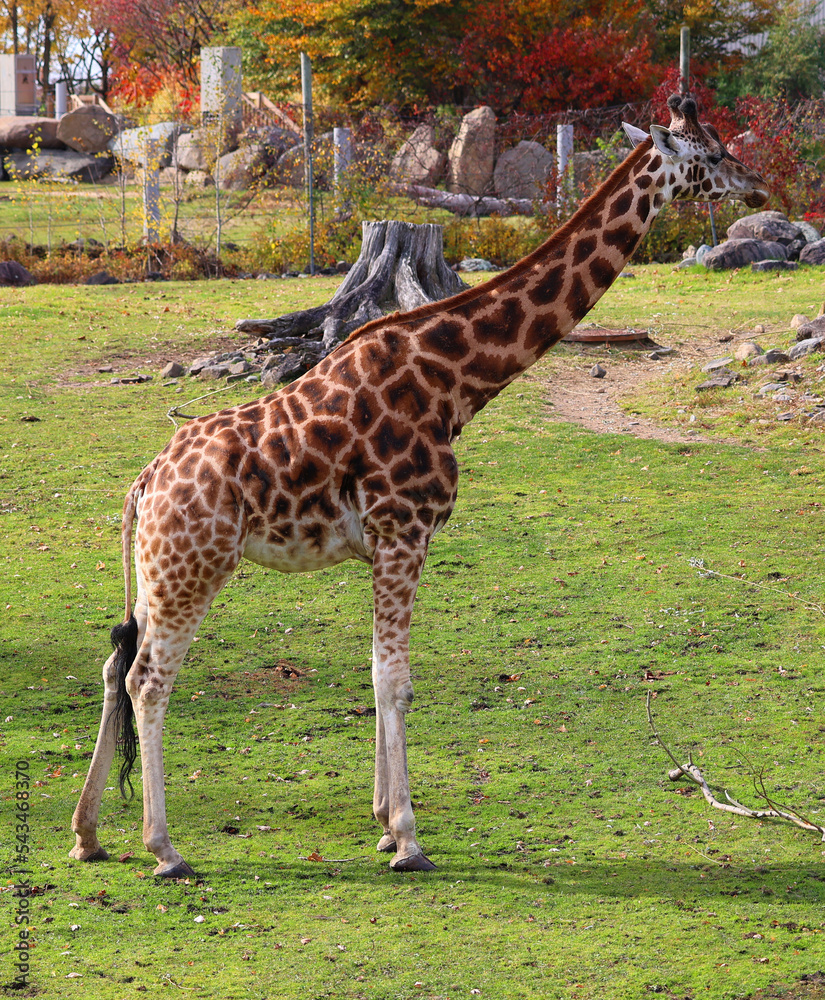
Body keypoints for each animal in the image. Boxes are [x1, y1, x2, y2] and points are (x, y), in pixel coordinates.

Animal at [70, 95, 768, 877]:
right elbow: (393, 680)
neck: (453, 384)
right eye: (711, 154)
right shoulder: (405, 531)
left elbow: (377, 674)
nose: (757, 189)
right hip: (194, 566)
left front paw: (381, 823)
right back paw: (164, 848)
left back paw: (88, 833)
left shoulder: (384, 543)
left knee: (113, 664)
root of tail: (143, 483)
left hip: (157, 569)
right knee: (148, 679)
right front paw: (407, 837)